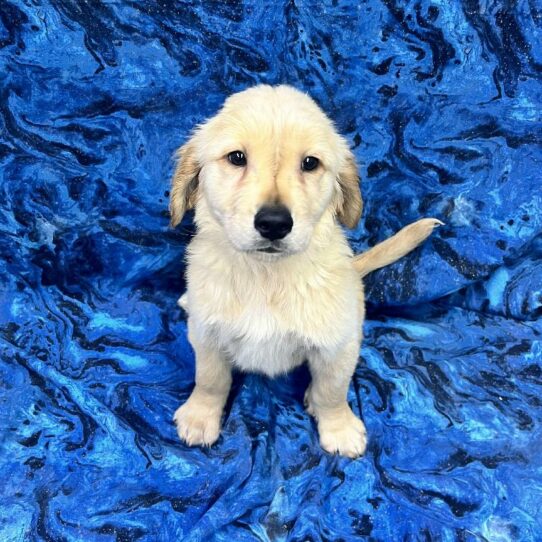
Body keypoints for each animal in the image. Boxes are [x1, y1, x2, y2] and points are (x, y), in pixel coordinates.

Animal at [170, 85, 442, 460]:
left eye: (310, 163)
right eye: (236, 157)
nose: (274, 223)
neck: (265, 276)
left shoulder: (337, 345)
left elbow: (332, 390)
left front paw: (339, 428)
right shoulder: (206, 335)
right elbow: (210, 380)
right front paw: (200, 417)